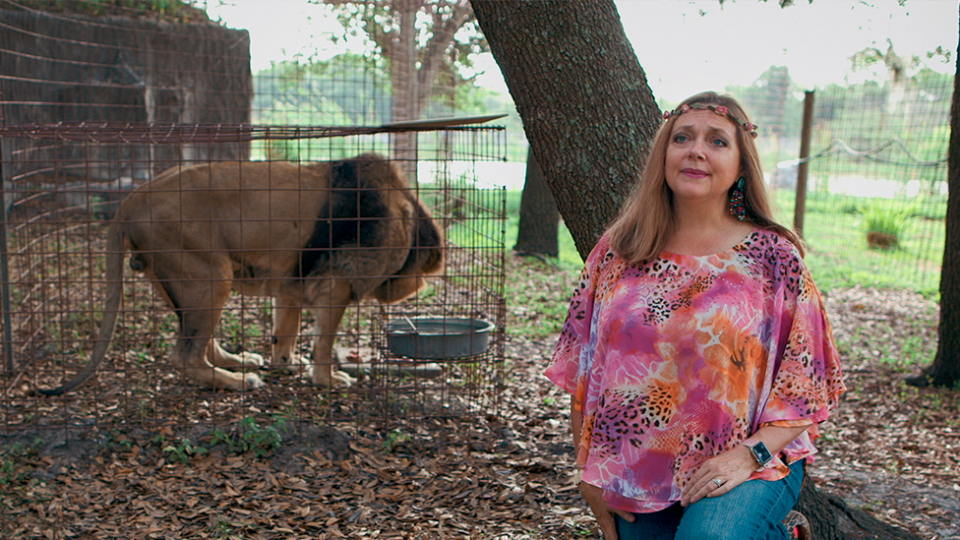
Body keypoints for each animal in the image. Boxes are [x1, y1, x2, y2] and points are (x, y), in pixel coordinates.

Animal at [37, 154, 442, 394]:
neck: (407, 217)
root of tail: (130, 200)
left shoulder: (291, 283)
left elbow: (286, 331)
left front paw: (287, 363)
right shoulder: (336, 286)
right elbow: (324, 342)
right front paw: (327, 379)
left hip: (182, 281)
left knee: (200, 343)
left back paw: (238, 362)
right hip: (211, 276)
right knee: (185, 356)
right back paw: (238, 381)